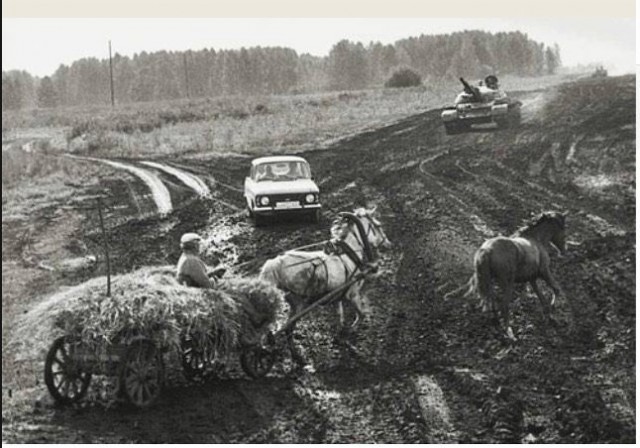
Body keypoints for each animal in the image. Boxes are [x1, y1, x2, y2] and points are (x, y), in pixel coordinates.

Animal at [258, 208, 390, 366]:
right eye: (378, 225)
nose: (388, 243)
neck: (348, 255)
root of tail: (276, 263)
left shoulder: (338, 295)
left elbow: (340, 315)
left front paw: (340, 335)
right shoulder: (352, 294)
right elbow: (361, 314)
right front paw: (348, 332)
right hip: (299, 304)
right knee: (288, 328)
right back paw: (297, 357)